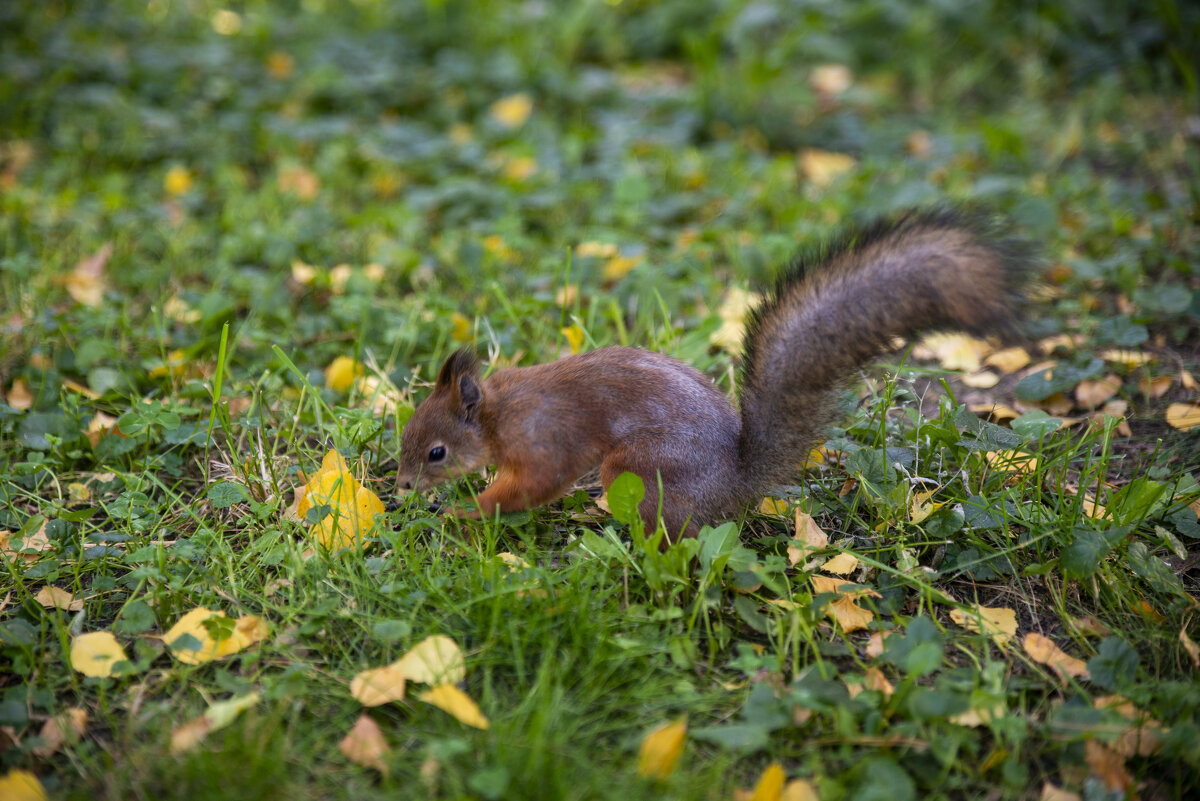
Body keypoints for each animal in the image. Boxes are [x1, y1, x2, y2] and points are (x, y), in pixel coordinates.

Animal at [396, 209, 1032, 541]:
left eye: (436, 452)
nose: (400, 487)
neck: (496, 414)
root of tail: (735, 485)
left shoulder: (543, 441)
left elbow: (531, 486)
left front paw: (463, 513)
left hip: (639, 468)